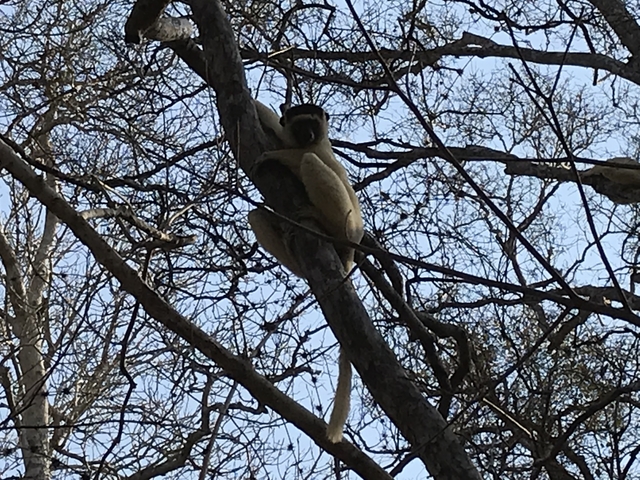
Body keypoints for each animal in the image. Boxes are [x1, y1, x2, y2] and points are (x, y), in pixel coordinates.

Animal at [249, 101, 364, 443]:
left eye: (313, 124)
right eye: (301, 125)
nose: (309, 134)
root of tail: (352, 244)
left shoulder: (319, 149)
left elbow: (299, 157)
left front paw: (276, 156)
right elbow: (274, 127)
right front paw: (258, 106)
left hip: (346, 221)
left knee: (311, 164)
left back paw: (318, 220)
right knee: (256, 215)